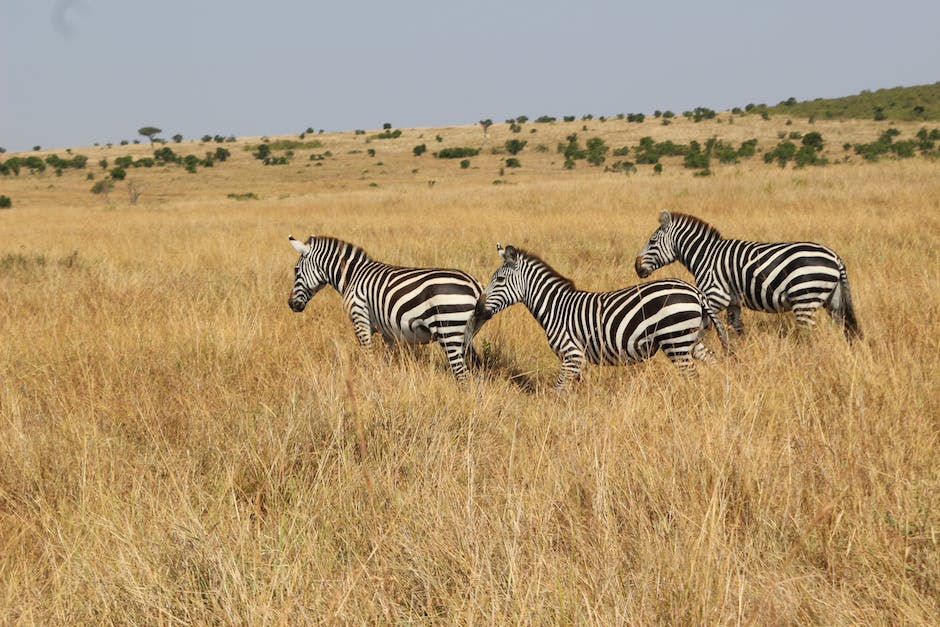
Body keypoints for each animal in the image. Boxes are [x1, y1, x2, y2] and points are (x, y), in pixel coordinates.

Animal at [288, 236, 488, 380]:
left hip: (449, 331)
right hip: (465, 334)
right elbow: (388, 360)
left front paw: (370, 380)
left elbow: (367, 355)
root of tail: (474, 285)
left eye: (296, 270)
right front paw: (385, 380)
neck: (352, 276)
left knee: (462, 374)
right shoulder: (388, 331)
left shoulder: (360, 318)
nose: (291, 304)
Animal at [474, 243, 732, 390]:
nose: (478, 309)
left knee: (692, 374)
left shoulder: (572, 355)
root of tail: (695, 291)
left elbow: (559, 390)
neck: (555, 307)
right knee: (713, 363)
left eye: (499, 280)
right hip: (691, 339)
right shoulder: (580, 361)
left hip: (675, 339)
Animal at [636, 211, 864, 340]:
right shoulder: (733, 302)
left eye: (653, 241)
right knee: (847, 328)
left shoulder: (715, 296)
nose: (636, 267)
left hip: (805, 299)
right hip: (833, 299)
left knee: (809, 334)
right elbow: (736, 329)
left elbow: (705, 326)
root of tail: (834, 256)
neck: (706, 255)